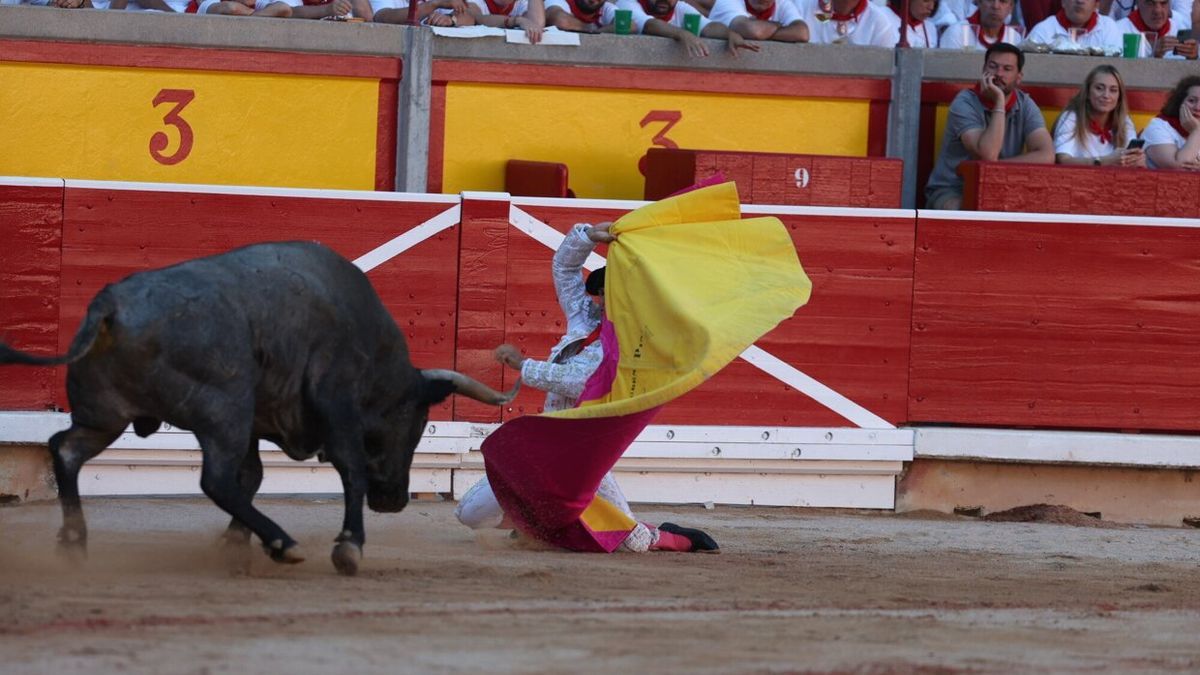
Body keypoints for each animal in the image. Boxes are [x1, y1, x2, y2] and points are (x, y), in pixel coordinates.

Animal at [0, 240, 516, 571]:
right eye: (416, 422)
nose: (393, 500)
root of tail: (109, 306)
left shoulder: (257, 426)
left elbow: (254, 477)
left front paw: (233, 543)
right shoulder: (335, 403)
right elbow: (349, 469)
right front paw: (349, 546)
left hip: (107, 414)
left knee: (67, 450)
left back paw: (73, 542)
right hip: (222, 410)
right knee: (214, 479)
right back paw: (283, 542)